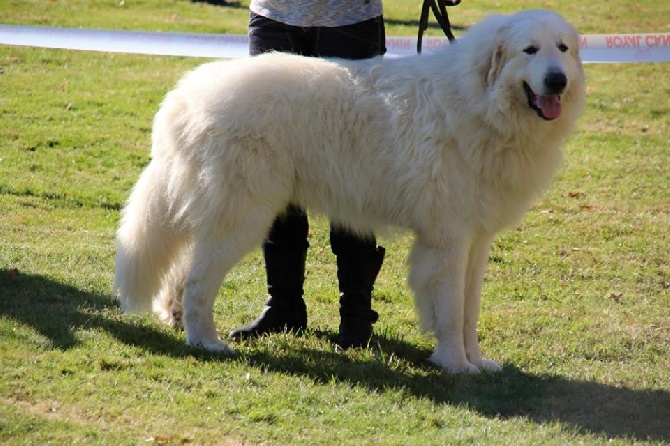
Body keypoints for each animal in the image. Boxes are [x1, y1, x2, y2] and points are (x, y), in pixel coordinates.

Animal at [115, 9, 588, 372]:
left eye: (562, 49)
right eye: (530, 50)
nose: (557, 81)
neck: (479, 104)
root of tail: (185, 96)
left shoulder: (476, 239)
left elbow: (469, 310)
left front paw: (477, 362)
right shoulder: (449, 239)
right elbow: (452, 310)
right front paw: (456, 365)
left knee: (184, 270)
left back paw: (177, 319)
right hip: (243, 213)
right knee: (199, 281)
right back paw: (207, 342)